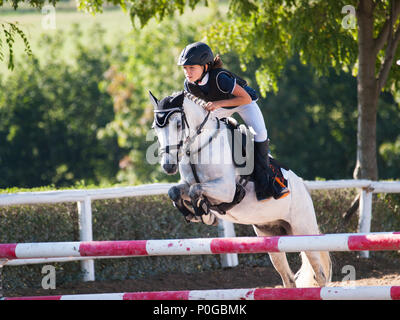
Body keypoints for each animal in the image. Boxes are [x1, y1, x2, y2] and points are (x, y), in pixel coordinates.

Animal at [150, 89, 332, 288]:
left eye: (178, 124)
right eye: (155, 128)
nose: (168, 166)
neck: (199, 147)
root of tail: (304, 187)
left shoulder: (227, 189)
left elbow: (196, 189)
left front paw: (204, 214)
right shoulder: (188, 184)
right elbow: (175, 191)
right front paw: (196, 214)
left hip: (302, 229)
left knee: (320, 274)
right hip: (271, 235)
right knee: (289, 280)